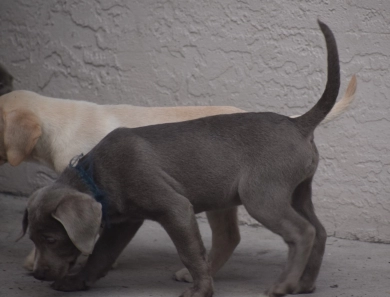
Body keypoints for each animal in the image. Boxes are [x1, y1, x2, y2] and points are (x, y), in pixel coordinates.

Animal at [22, 20, 338, 296]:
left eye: (51, 238)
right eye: (33, 238)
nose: (37, 274)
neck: (96, 175)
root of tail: (298, 124)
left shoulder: (176, 209)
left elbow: (190, 252)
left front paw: (201, 290)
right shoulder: (125, 222)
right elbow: (101, 254)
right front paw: (76, 282)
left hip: (262, 195)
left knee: (303, 232)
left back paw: (283, 285)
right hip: (297, 191)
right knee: (320, 231)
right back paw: (304, 284)